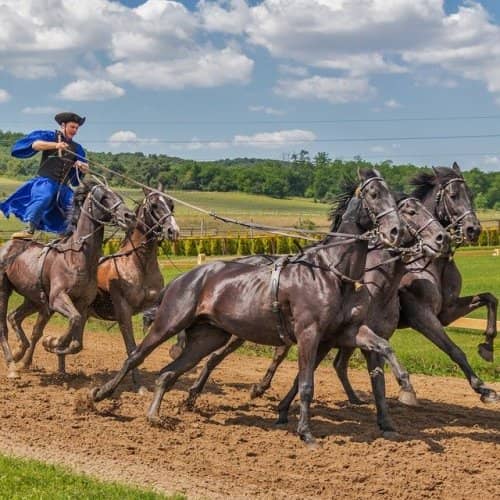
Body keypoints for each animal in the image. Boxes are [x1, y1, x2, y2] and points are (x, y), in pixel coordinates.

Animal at [0, 182, 135, 376]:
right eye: (104, 197)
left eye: (119, 195)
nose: (129, 216)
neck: (76, 258)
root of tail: (7, 246)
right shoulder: (58, 298)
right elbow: (74, 320)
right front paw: (53, 342)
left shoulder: (82, 303)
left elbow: (76, 341)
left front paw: (55, 347)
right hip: (5, 290)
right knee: (3, 326)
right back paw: (12, 365)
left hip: (34, 300)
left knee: (14, 317)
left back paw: (20, 352)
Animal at [90, 170, 410, 444]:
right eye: (373, 194)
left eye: (393, 195)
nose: (395, 231)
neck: (330, 271)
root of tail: (185, 278)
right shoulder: (309, 334)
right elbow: (306, 384)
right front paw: (305, 432)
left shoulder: (344, 332)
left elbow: (383, 345)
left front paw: (405, 387)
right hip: (169, 323)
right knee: (135, 357)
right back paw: (101, 394)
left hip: (208, 337)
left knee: (169, 373)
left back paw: (154, 415)